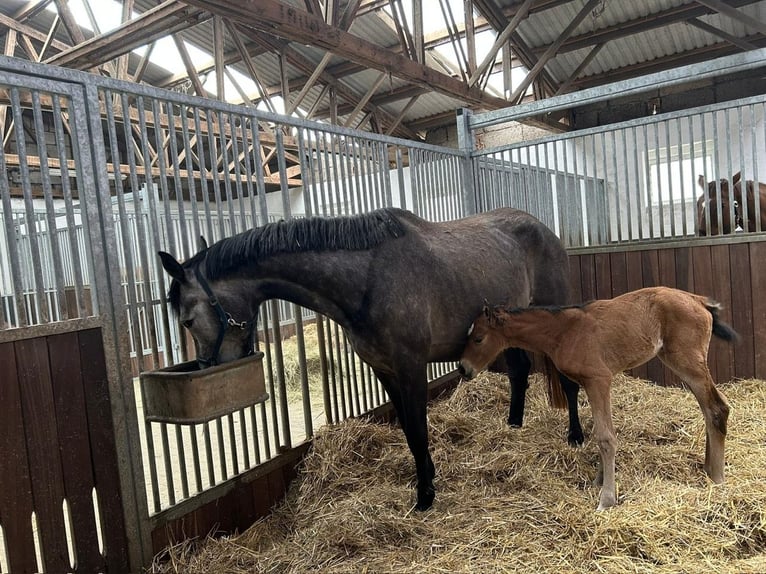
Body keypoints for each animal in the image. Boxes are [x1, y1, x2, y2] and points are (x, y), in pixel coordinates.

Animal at [158, 207, 584, 511]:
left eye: (187, 320)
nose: (209, 368)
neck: (367, 280)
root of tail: (543, 229)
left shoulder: (411, 368)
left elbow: (419, 429)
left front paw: (425, 496)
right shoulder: (384, 370)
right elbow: (410, 432)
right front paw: (427, 479)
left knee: (565, 378)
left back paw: (576, 437)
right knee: (519, 372)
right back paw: (512, 427)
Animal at [458, 286, 736, 510]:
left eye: (478, 338)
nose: (463, 369)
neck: (563, 331)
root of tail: (699, 300)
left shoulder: (599, 380)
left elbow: (606, 437)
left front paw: (606, 499)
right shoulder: (591, 383)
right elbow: (598, 431)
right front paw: (599, 481)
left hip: (686, 360)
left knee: (717, 408)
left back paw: (718, 479)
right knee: (708, 407)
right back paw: (708, 468)